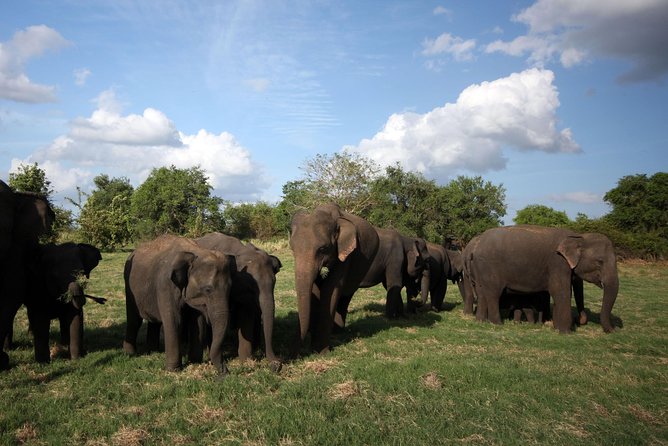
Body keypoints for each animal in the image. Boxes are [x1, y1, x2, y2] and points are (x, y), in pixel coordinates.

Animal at [123, 234, 233, 375]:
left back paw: (153, 351)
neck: (196, 252)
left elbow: (197, 322)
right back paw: (130, 354)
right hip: (129, 286)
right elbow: (174, 321)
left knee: (154, 321)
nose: (225, 372)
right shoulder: (165, 285)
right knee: (134, 320)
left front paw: (194, 361)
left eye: (230, 289)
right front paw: (174, 370)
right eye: (208, 289)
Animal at [195, 232, 282, 372]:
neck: (239, 250)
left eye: (274, 283)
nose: (276, 365)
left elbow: (246, 317)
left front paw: (246, 362)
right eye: (251, 287)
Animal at [290, 203, 379, 355]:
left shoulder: (347, 253)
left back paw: (338, 332)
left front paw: (321, 352)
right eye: (292, 248)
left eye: (323, 249)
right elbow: (315, 288)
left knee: (346, 294)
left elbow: (330, 288)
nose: (297, 353)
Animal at [466, 225, 619, 333]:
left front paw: (556, 328)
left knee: (482, 293)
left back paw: (481, 320)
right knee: (493, 294)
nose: (613, 330)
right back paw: (497, 324)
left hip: (481, 269)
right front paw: (565, 332)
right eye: (600, 261)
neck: (578, 237)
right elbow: (560, 291)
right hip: (490, 268)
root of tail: (476, 246)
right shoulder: (557, 263)